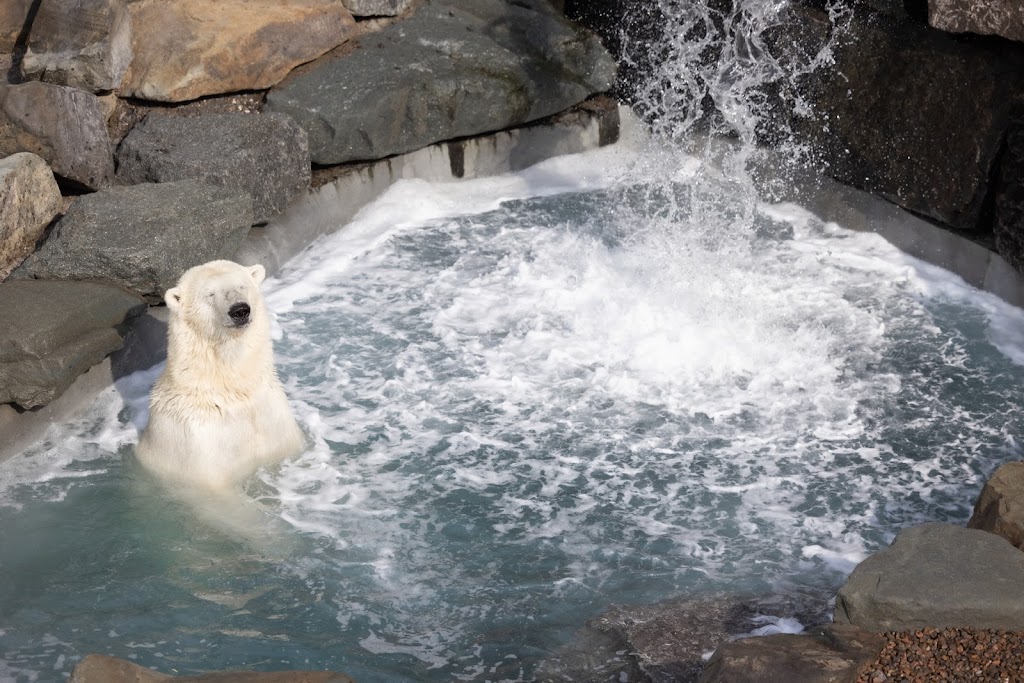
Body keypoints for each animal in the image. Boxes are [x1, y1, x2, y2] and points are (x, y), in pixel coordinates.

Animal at [136, 260, 303, 491]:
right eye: (210, 294)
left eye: (242, 285)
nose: (240, 310)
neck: (229, 392)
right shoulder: (199, 446)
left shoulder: (276, 424)